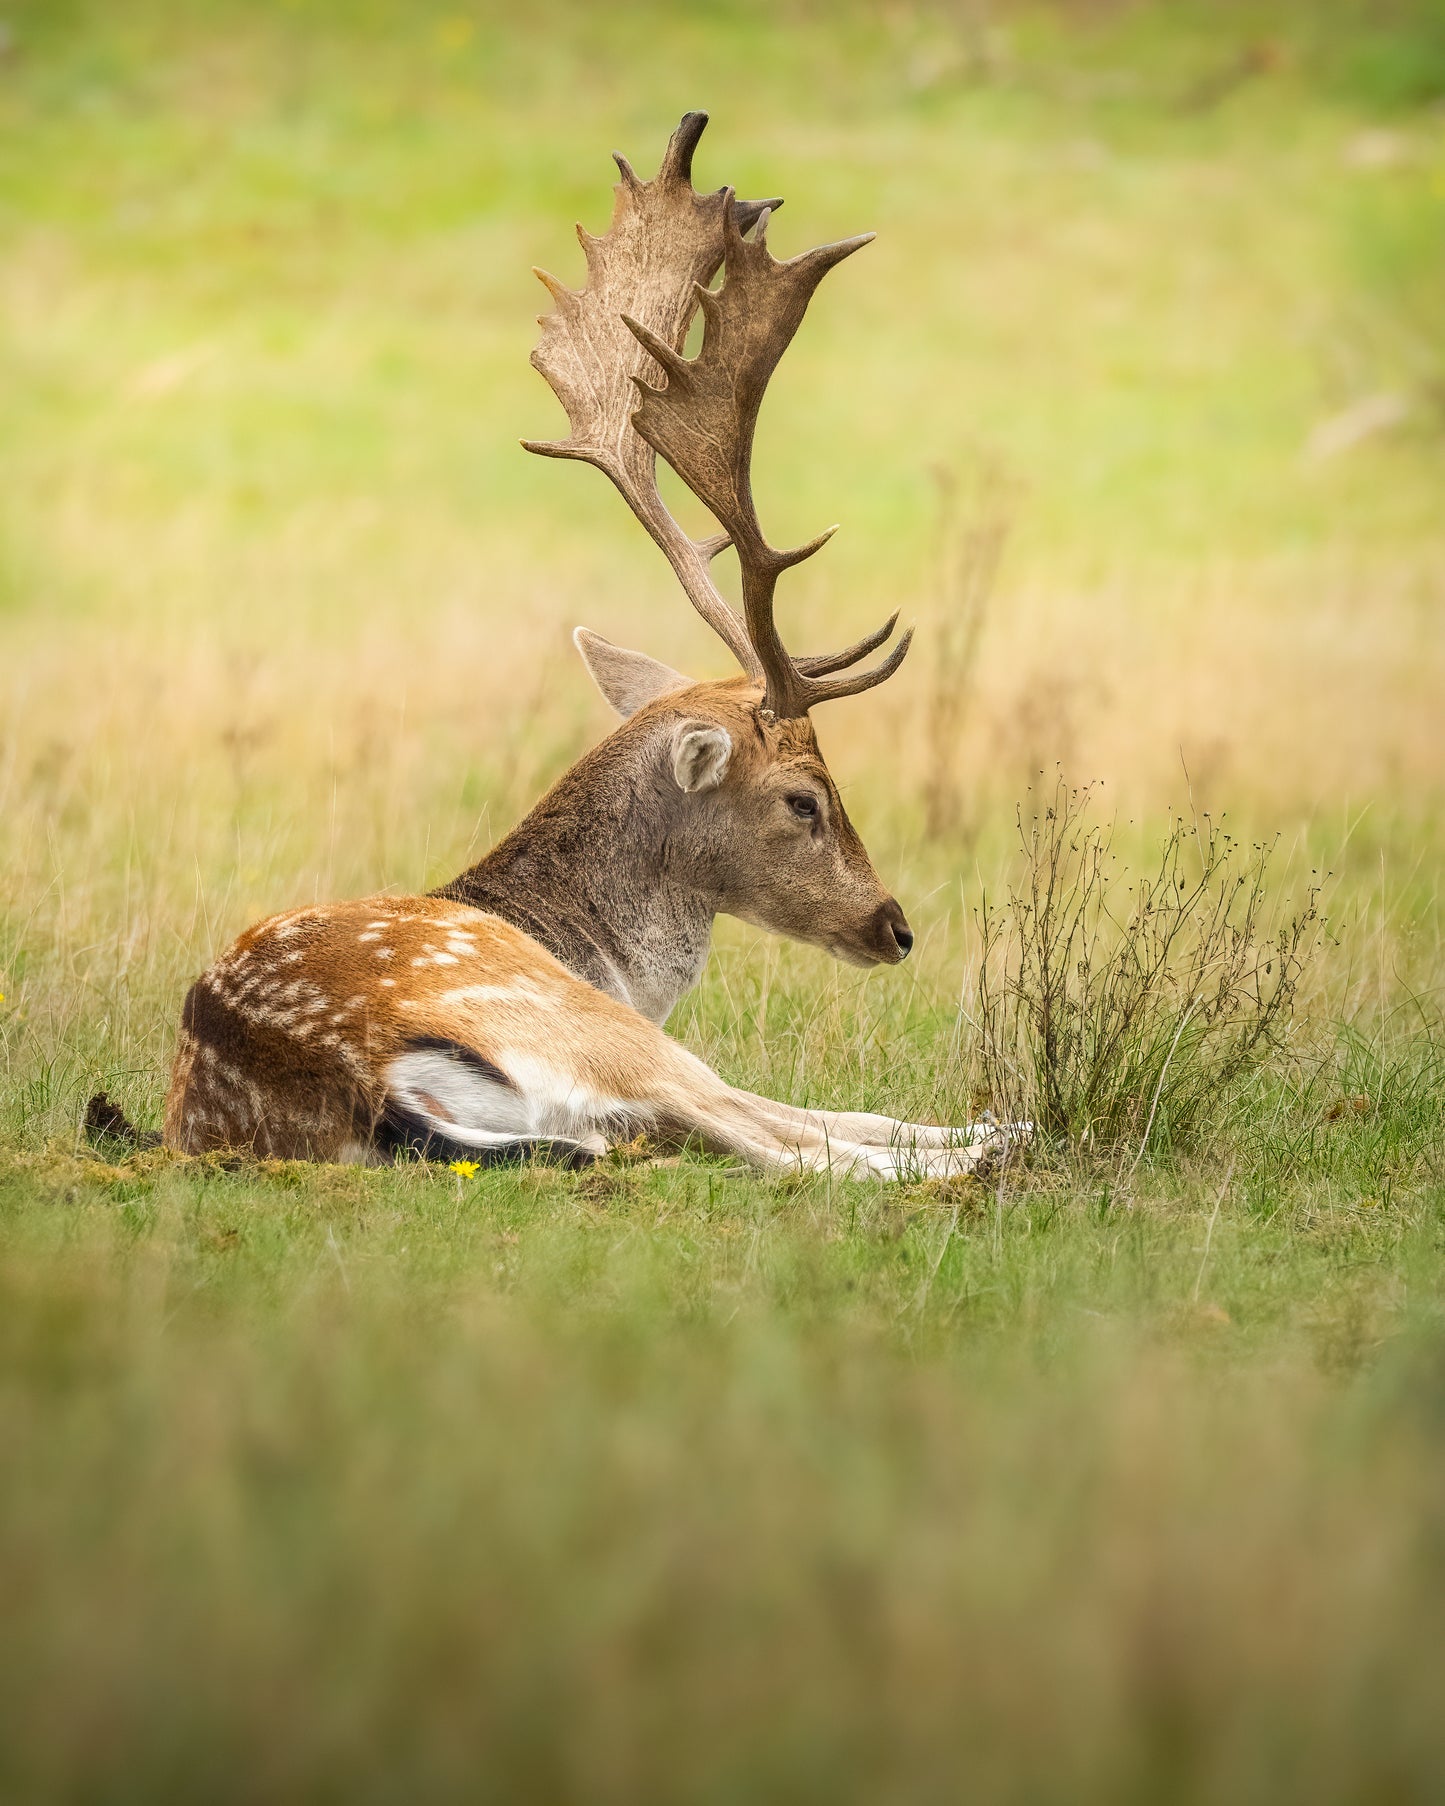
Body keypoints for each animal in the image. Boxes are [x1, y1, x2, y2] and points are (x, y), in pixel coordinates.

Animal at [146, 116, 1011, 1184]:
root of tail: (351, 1075)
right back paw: (987, 1150)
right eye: (804, 799)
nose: (893, 927)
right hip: (603, 1038)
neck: (604, 954)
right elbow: (831, 1117)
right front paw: (988, 1128)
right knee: (779, 1140)